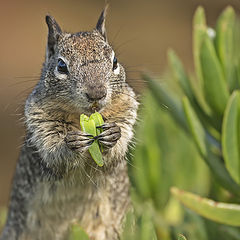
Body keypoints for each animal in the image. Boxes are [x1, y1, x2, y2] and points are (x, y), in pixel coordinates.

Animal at [0, 6, 138, 239]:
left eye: (115, 61)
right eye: (61, 66)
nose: (97, 93)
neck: (79, 117)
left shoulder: (127, 109)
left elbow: (116, 150)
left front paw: (113, 135)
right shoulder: (40, 122)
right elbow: (53, 153)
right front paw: (70, 143)